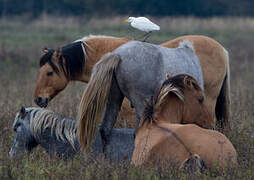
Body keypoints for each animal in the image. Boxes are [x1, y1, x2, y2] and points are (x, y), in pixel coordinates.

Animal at [78, 39, 213, 152]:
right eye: (200, 99)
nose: (210, 126)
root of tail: (118, 55)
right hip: (140, 104)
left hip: (114, 99)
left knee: (105, 129)